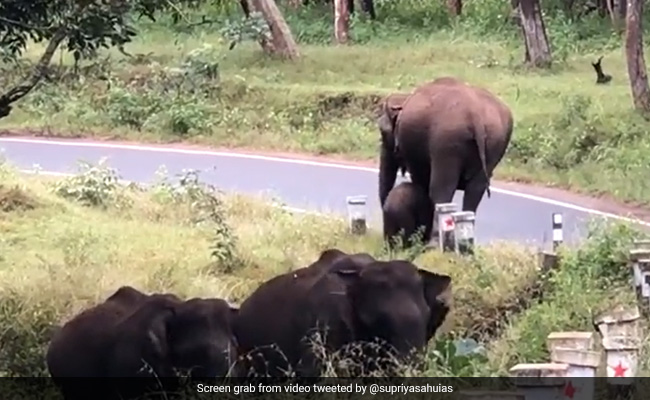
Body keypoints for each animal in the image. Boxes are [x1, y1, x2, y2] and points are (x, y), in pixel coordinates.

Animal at [377, 77, 514, 242]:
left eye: (382, 132)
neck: (404, 97)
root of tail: (474, 114)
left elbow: (421, 182)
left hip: (446, 142)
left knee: (440, 190)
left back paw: (434, 240)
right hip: (494, 142)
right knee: (475, 191)